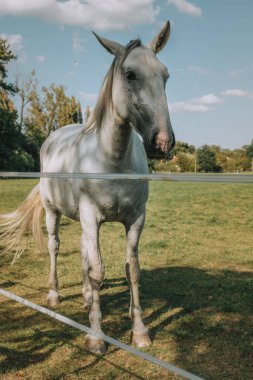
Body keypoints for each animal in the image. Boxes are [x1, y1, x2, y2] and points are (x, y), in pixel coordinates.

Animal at [0, 20, 175, 354]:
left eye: (165, 74)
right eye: (130, 74)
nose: (163, 142)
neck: (112, 160)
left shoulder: (136, 219)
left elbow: (131, 270)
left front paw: (140, 332)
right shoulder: (91, 217)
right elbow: (97, 270)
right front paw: (96, 337)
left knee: (83, 249)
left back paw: (84, 297)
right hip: (53, 212)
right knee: (55, 247)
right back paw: (55, 294)